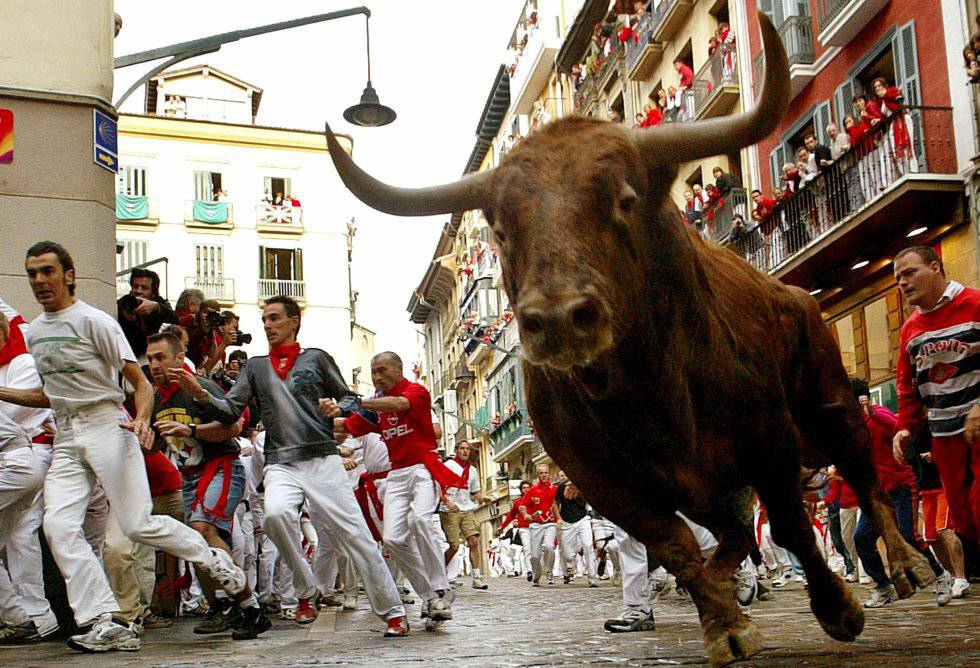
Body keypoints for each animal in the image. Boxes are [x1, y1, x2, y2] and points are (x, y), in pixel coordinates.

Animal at [324, 13, 936, 664]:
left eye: (623, 199)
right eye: (501, 226)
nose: (560, 318)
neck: (644, 389)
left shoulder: (769, 439)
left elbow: (793, 524)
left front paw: (837, 608)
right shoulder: (609, 483)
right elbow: (675, 548)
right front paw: (723, 623)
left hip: (827, 401)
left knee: (860, 471)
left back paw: (907, 568)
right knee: (733, 534)